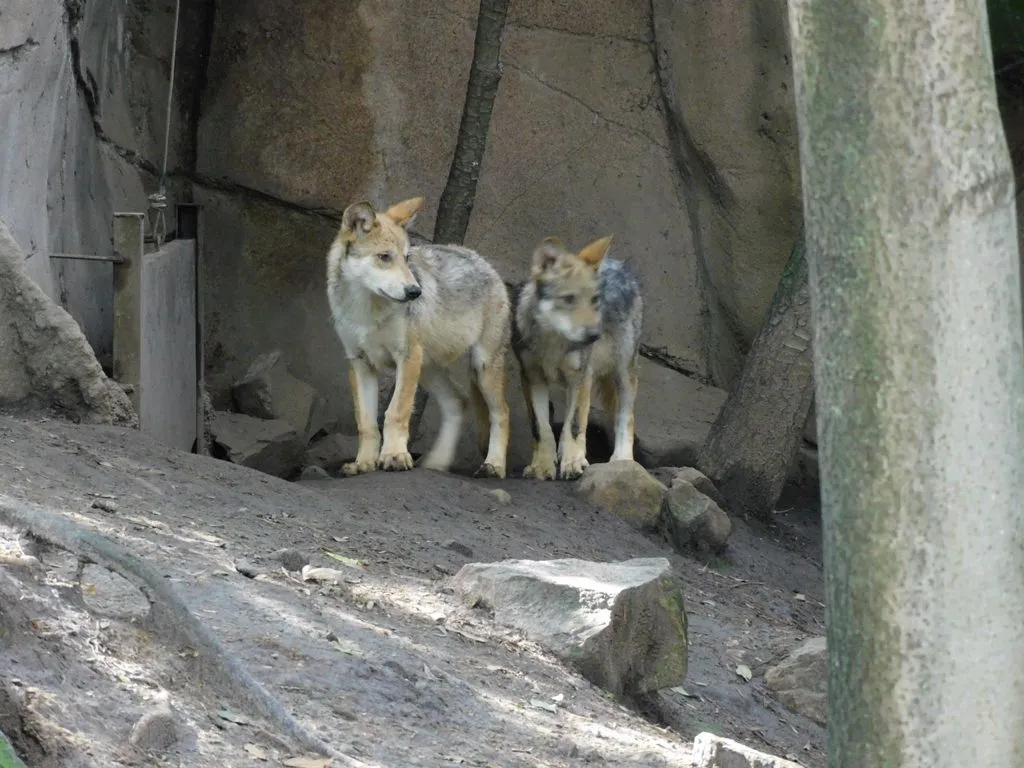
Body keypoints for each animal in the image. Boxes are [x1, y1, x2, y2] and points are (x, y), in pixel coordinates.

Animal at [326, 196, 511, 478]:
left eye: (406, 258)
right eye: (385, 257)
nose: (415, 291)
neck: (366, 311)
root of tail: (483, 261)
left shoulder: (407, 356)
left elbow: (396, 412)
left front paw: (394, 456)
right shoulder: (360, 362)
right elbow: (366, 424)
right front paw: (364, 463)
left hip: (481, 368)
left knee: (501, 413)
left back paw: (494, 466)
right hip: (428, 370)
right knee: (458, 402)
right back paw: (437, 463)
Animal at [511, 235, 643, 480]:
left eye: (594, 300)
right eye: (569, 299)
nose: (594, 335)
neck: (553, 342)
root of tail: (618, 265)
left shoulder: (581, 376)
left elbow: (573, 425)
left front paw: (573, 463)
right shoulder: (532, 377)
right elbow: (541, 427)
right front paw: (542, 466)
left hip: (623, 375)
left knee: (626, 417)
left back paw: (622, 461)